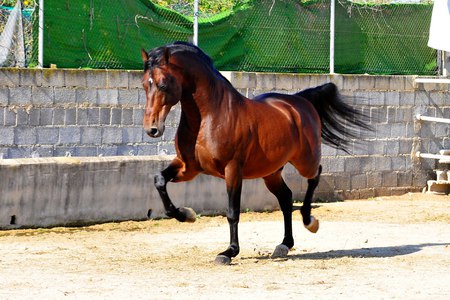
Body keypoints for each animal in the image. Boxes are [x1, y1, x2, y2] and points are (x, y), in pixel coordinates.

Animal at [140, 41, 370, 264]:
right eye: (144, 84)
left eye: (163, 84)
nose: (152, 129)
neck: (212, 115)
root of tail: (300, 101)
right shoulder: (188, 168)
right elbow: (159, 180)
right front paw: (186, 215)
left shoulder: (232, 169)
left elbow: (232, 212)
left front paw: (229, 252)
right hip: (271, 172)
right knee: (286, 198)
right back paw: (284, 245)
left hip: (305, 161)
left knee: (315, 176)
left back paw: (310, 221)